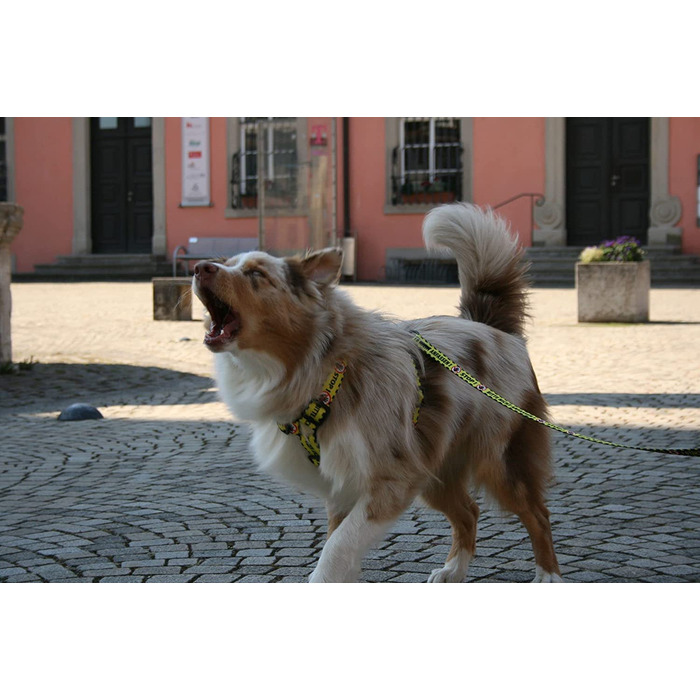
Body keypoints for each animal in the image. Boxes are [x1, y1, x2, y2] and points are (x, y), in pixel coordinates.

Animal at [191, 204, 564, 584]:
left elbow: (336, 548)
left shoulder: (389, 480)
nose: (201, 267)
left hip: (498, 460)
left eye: (255, 273)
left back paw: (548, 575)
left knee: (537, 513)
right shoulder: (344, 486)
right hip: (434, 466)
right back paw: (453, 570)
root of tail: (491, 327)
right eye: (225, 263)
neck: (325, 371)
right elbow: (338, 545)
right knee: (469, 511)